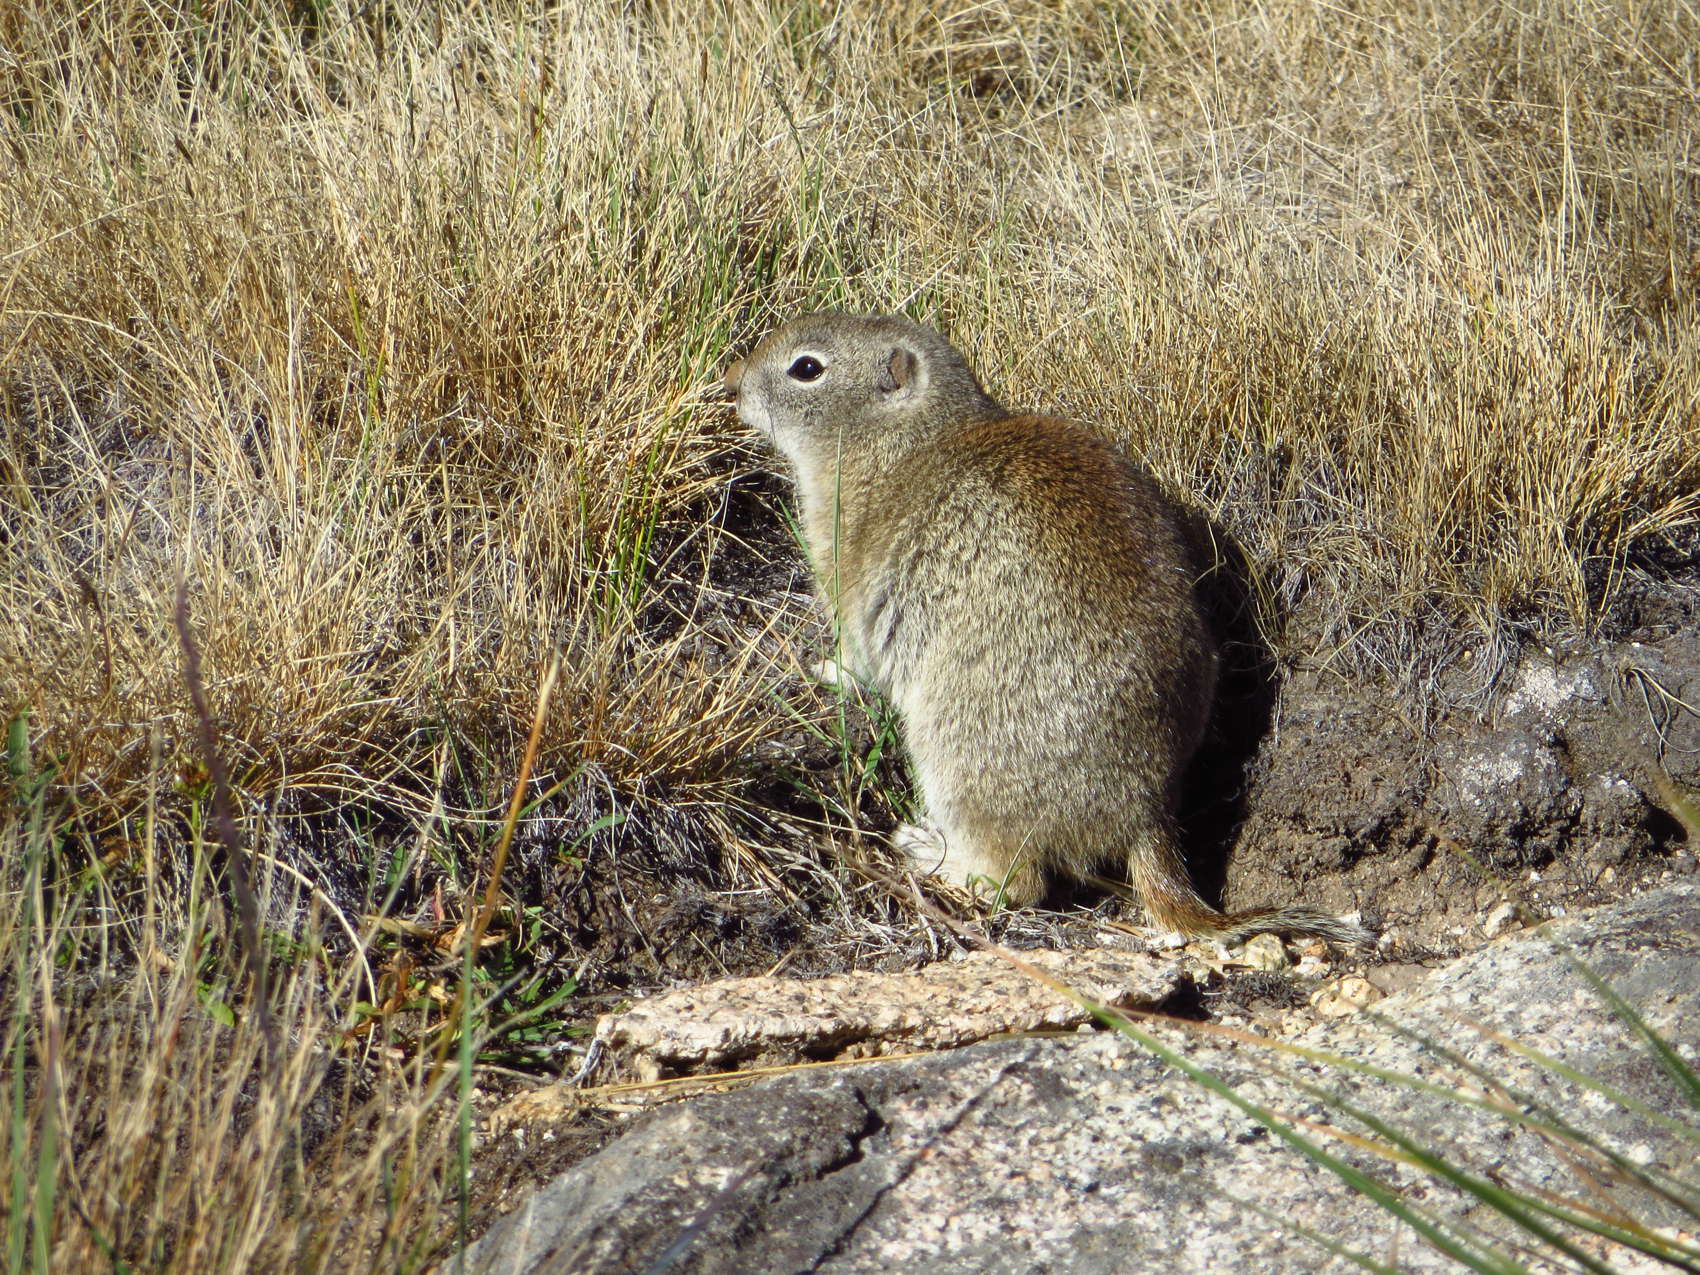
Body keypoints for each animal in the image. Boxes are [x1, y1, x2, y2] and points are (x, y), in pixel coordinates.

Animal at [724, 313, 1370, 947]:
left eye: (807, 368)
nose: (731, 384)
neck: (908, 437)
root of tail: (1145, 813)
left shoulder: (847, 578)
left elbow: (857, 659)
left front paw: (817, 668)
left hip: (955, 763)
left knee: (1021, 882)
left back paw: (929, 851)